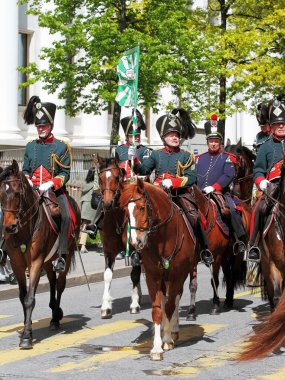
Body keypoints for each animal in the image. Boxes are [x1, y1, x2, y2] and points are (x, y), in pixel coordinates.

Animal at [0, 159, 80, 348]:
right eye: (0, 194)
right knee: (52, 280)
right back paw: (54, 312)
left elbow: (30, 298)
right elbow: (23, 297)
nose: (9, 227)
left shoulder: (35, 261)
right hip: (47, 260)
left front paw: (27, 336)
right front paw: (25, 327)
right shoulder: (17, 264)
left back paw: (56, 318)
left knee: (60, 284)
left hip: (66, 254)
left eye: (17, 193)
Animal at [97, 157, 142, 318]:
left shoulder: (135, 249)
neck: (117, 217)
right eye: (100, 178)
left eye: (117, 177)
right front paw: (106, 306)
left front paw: (134, 304)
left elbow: (135, 274)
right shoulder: (109, 252)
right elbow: (107, 276)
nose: (107, 203)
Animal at [118, 180, 197, 360]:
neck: (163, 239)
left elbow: (169, 307)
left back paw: (173, 330)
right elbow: (157, 310)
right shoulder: (153, 276)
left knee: (175, 299)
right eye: (125, 210)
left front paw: (166, 340)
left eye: (142, 207)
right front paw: (156, 347)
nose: (136, 242)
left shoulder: (177, 275)